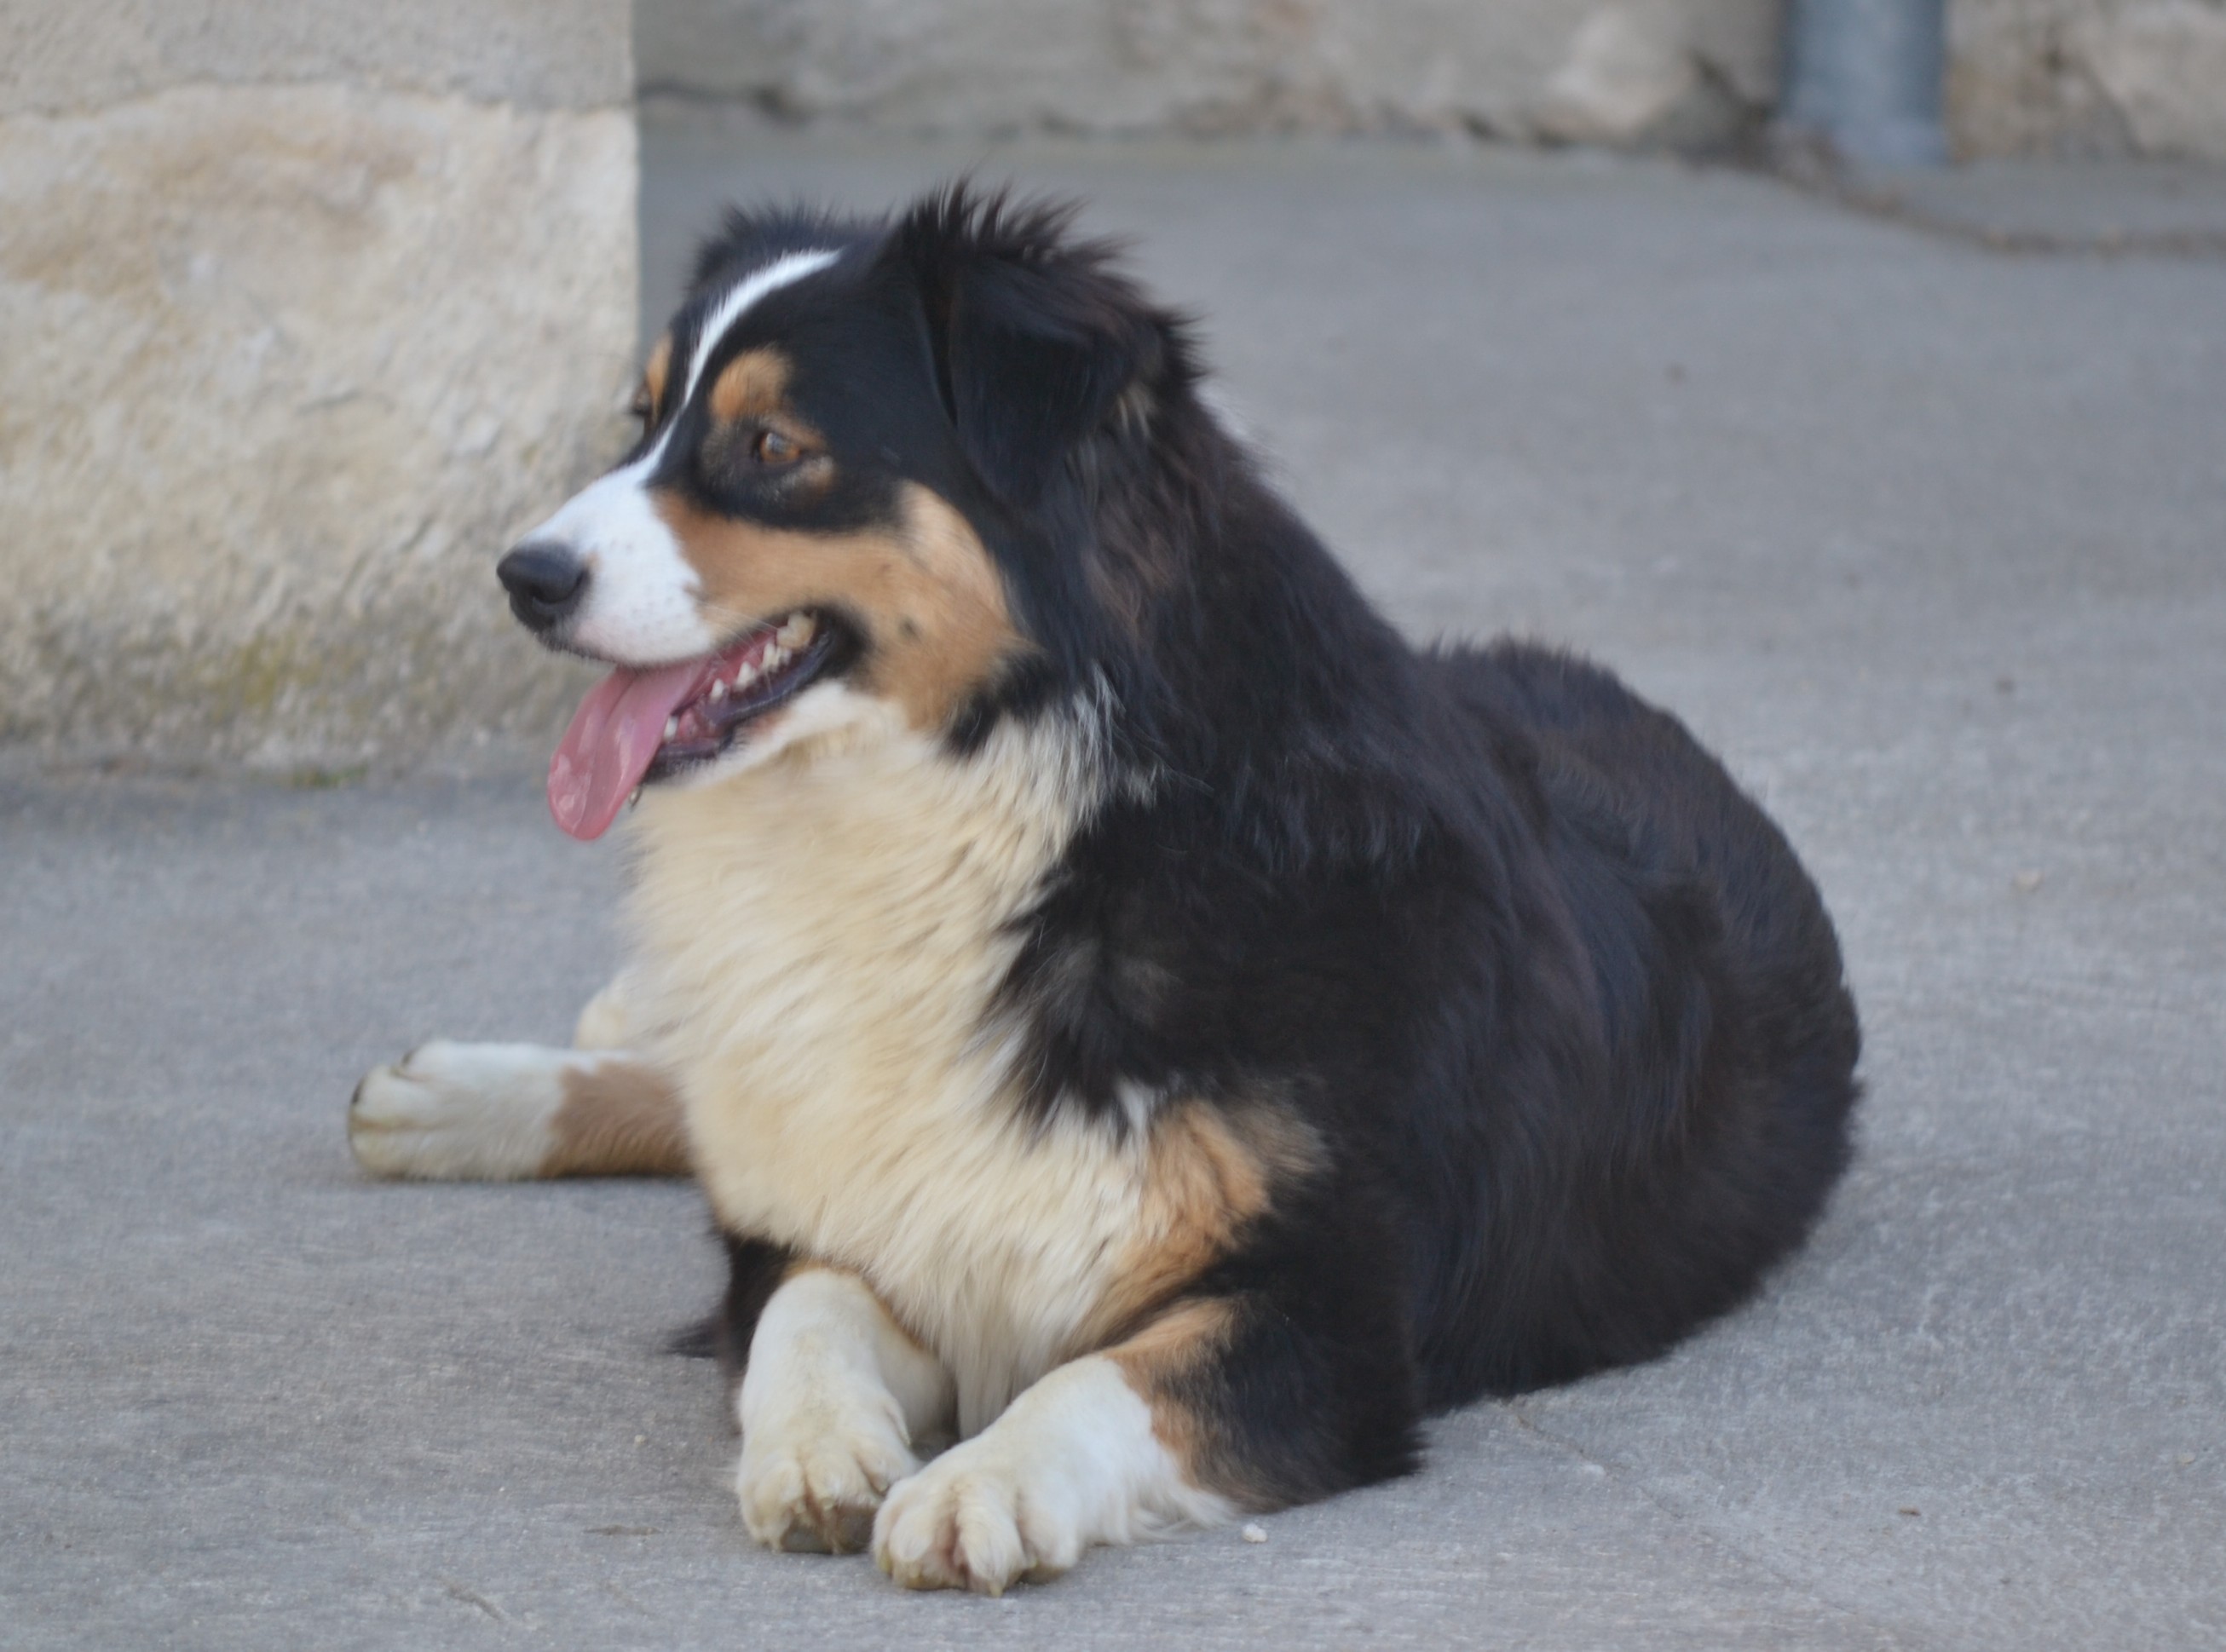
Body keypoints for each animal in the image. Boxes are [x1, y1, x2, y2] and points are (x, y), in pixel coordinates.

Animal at [351, 187, 1860, 1594]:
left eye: (772, 447)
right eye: (642, 415)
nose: (522, 577)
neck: (1005, 801)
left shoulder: (1332, 1315)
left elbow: (1102, 1378)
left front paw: (980, 1482)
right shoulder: (842, 1206)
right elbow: (799, 1311)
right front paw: (815, 1444)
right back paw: (461, 1094)